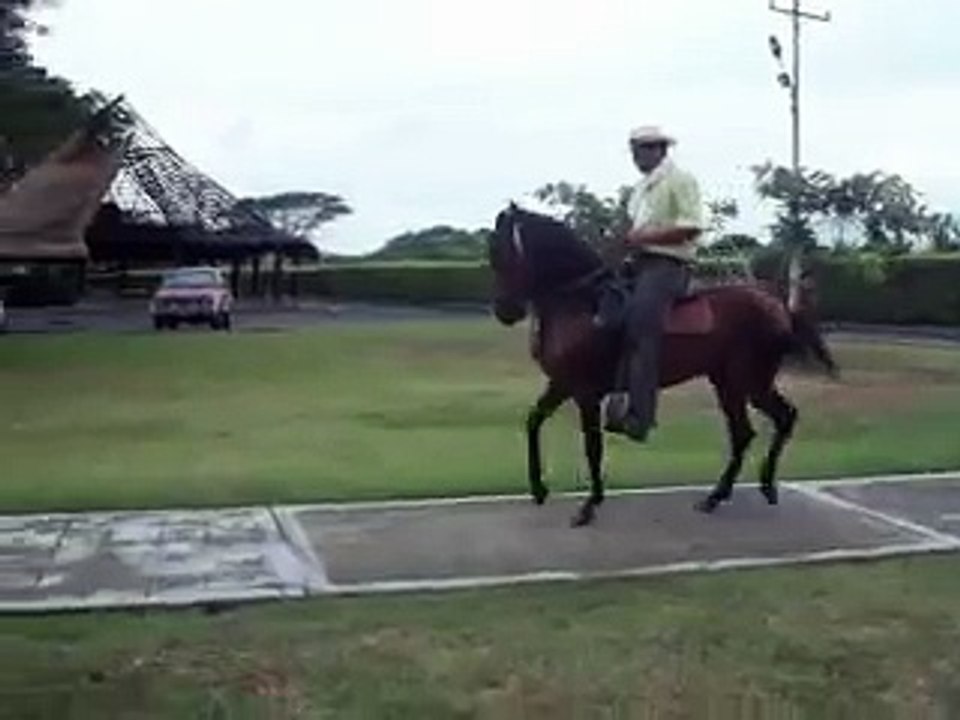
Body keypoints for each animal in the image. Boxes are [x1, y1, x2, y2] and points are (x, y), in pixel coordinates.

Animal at [487, 203, 838, 528]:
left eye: (502, 253)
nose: (505, 311)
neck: (581, 303)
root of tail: (777, 305)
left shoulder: (586, 393)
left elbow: (592, 446)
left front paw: (589, 505)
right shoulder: (561, 384)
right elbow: (533, 422)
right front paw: (539, 489)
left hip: (750, 380)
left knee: (776, 420)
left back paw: (756, 488)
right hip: (729, 382)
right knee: (748, 431)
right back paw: (723, 495)